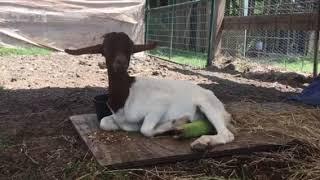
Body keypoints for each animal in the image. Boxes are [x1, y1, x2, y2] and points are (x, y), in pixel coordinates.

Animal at [65, 32, 235, 150]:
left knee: (226, 134)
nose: (120, 63)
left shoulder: (160, 104)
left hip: (207, 104)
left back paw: (202, 142)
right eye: (105, 49)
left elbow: (145, 130)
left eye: (130, 49)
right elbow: (103, 122)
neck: (127, 95)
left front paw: (175, 123)